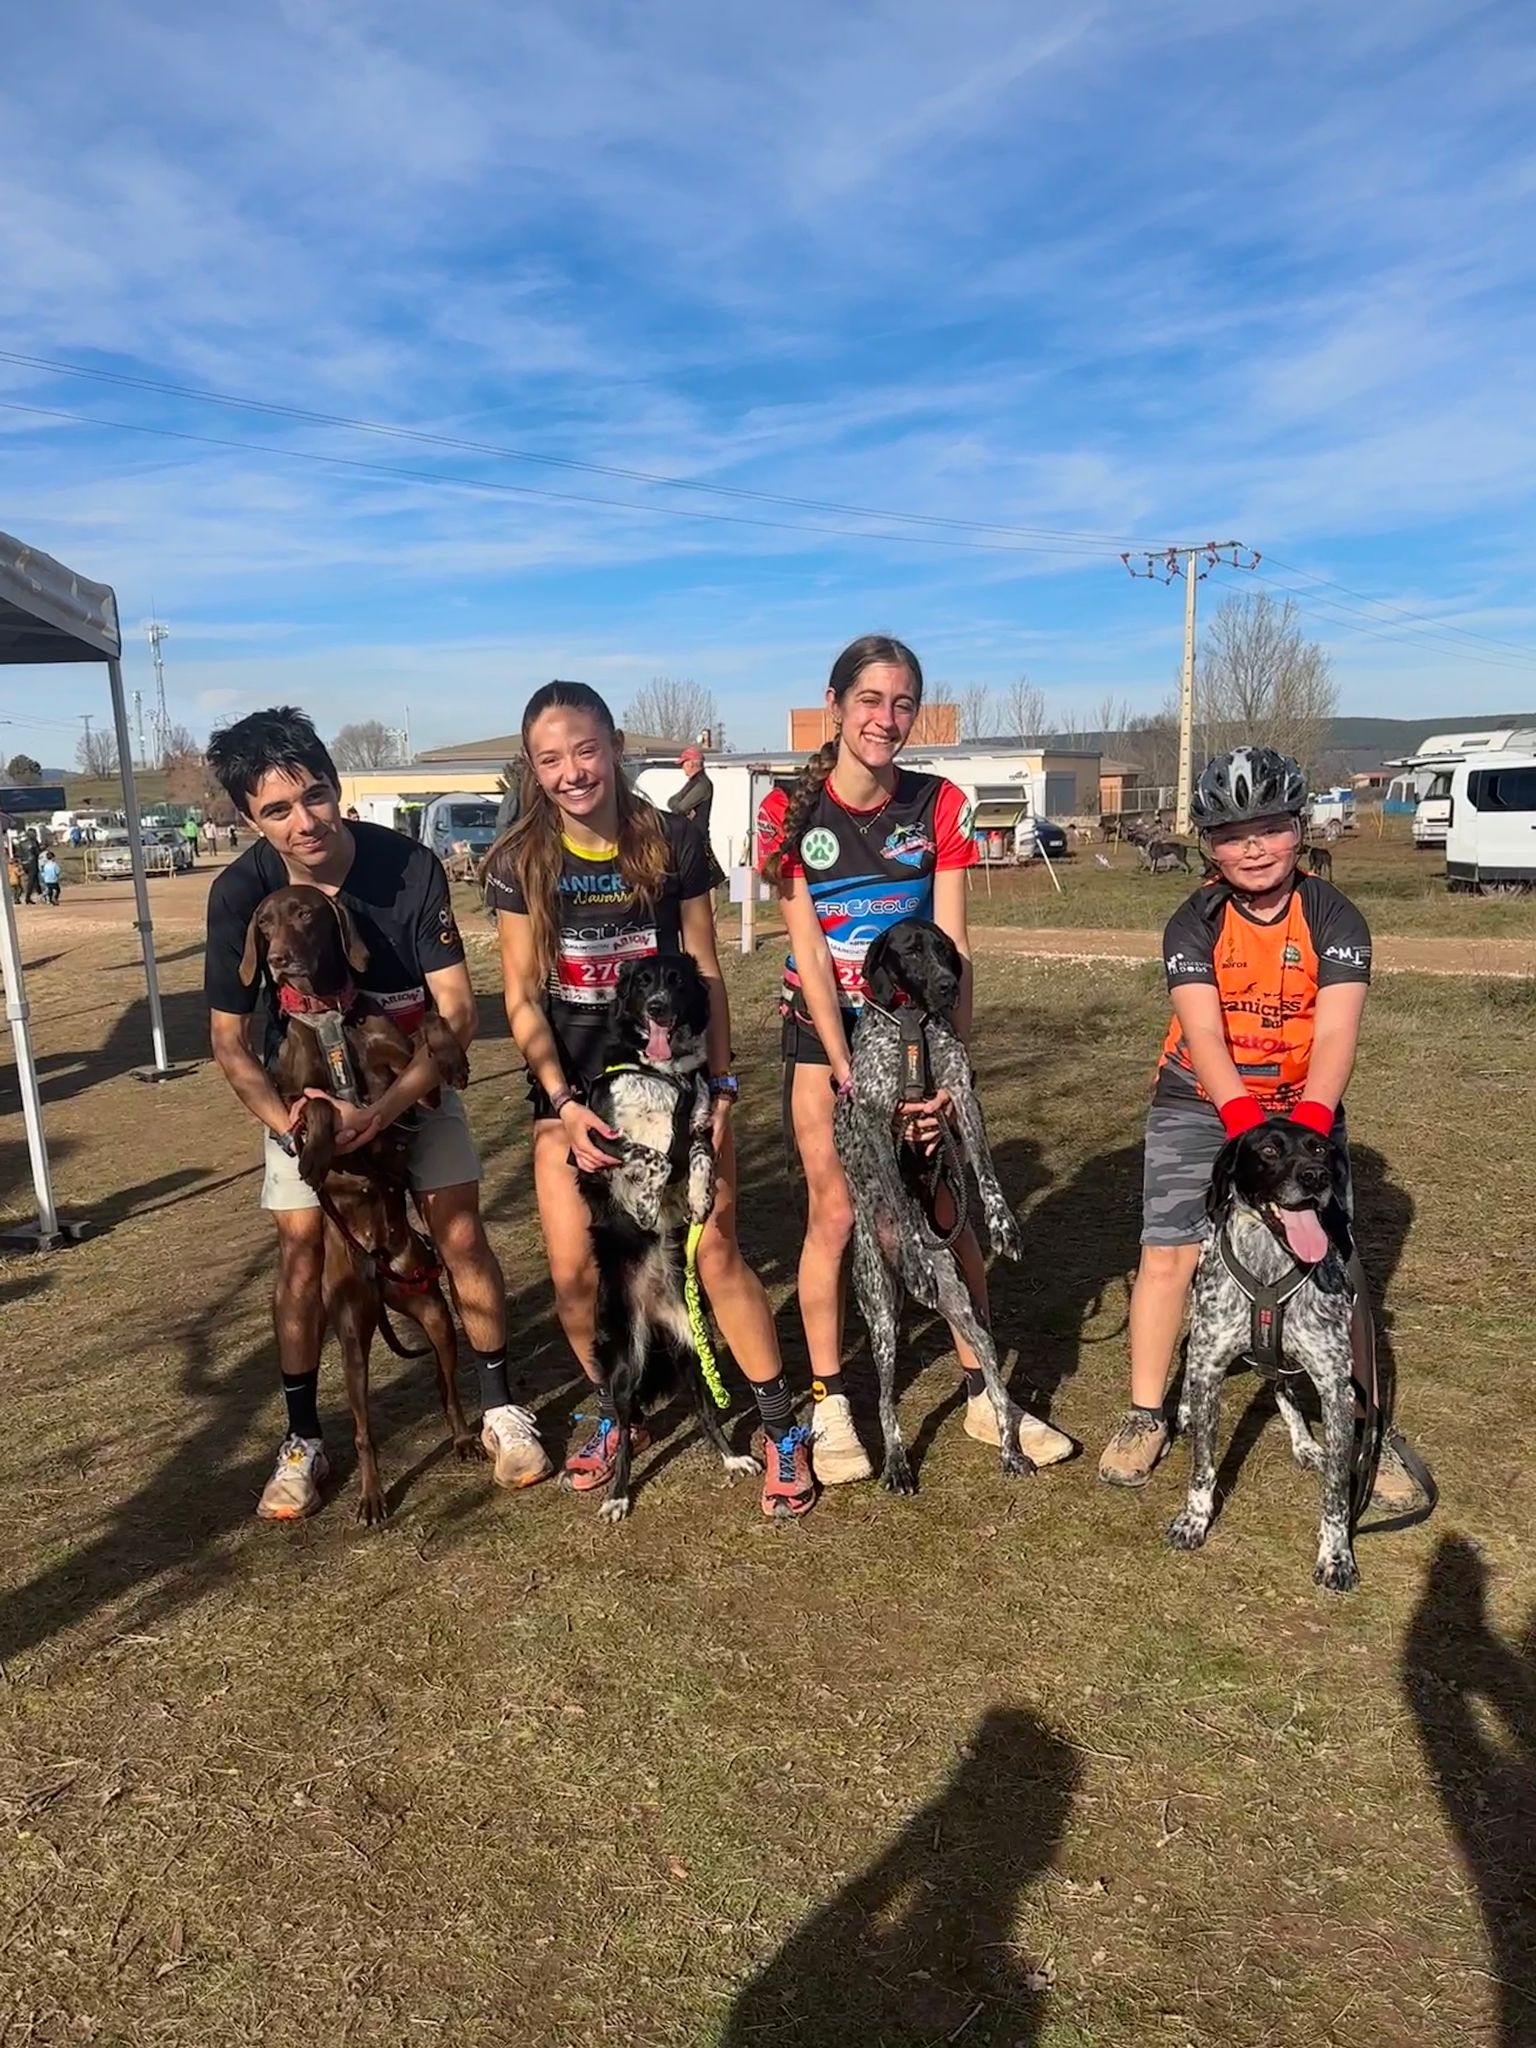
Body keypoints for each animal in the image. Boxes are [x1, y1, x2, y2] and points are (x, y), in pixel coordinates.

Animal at [574, 952, 760, 1522]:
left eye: (675, 981)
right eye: (640, 983)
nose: (657, 1006)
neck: (663, 1073)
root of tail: (655, 1311)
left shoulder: (699, 1122)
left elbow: (696, 1154)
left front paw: (698, 1197)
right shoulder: (598, 1143)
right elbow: (652, 1155)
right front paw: (647, 1205)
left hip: (695, 1349)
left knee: (706, 1412)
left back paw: (732, 1458)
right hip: (624, 1364)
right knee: (625, 1430)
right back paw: (617, 1495)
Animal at [834, 918, 1029, 1494]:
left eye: (946, 950)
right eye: (912, 951)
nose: (948, 985)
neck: (910, 1023)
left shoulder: (960, 1096)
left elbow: (983, 1167)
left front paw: (1003, 1224)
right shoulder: (879, 1119)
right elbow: (900, 1199)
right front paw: (917, 1249)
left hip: (964, 1310)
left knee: (993, 1376)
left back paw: (1011, 1448)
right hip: (880, 1315)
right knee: (883, 1402)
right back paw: (897, 1463)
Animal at [1166, 1117, 1362, 1591]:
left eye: (1319, 1148)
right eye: (1270, 1151)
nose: (1316, 1177)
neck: (1271, 1265)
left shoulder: (1337, 1390)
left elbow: (1336, 1491)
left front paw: (1336, 1555)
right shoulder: (1211, 1367)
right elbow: (1203, 1463)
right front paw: (1194, 1520)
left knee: (1281, 1384)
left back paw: (1304, 1441)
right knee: (1189, 1355)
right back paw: (1184, 1409)